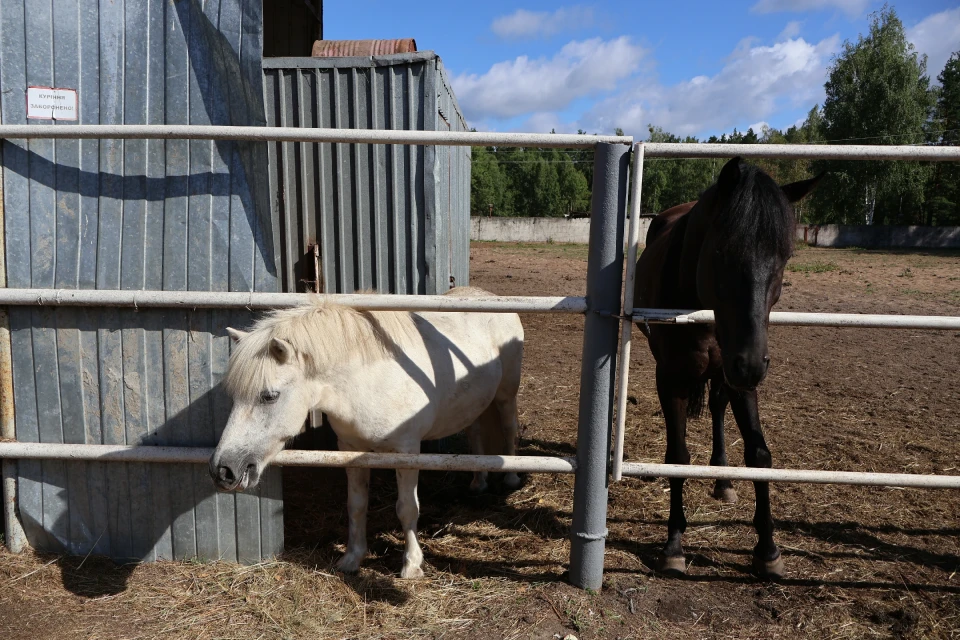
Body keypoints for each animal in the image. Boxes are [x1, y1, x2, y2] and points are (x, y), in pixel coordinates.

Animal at [211, 288, 524, 576]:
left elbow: (407, 507)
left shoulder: (407, 452)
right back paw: (478, 482)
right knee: (475, 433)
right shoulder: (351, 450)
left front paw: (411, 565)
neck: (366, 382)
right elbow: (357, 505)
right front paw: (352, 558)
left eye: (269, 396)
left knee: (509, 428)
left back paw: (510, 478)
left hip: (506, 396)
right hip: (474, 403)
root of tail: (487, 296)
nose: (223, 471)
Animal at [632, 156, 820, 580]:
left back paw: (722, 478)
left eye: (785, 258)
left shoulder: (740, 379)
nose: (751, 364)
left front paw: (768, 550)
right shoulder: (671, 379)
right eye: (722, 251)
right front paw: (673, 545)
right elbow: (677, 456)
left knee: (718, 407)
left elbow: (759, 454)